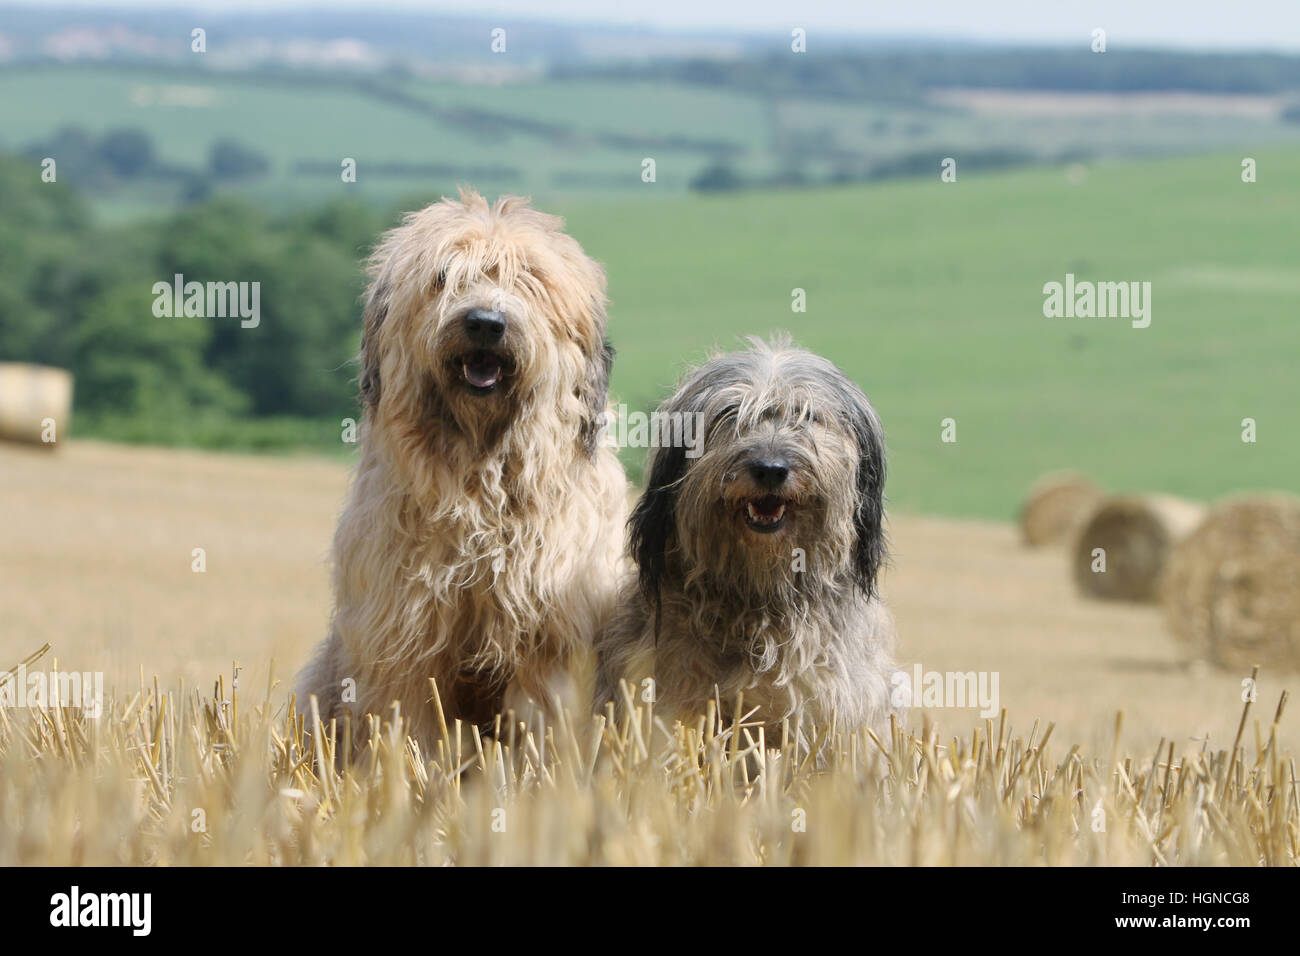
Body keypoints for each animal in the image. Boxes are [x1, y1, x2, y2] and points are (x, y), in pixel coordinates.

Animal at [304, 191, 629, 749]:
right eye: (443, 277)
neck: (483, 479)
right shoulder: (403, 632)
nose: (484, 323)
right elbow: (407, 717)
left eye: (528, 277)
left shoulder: (550, 636)